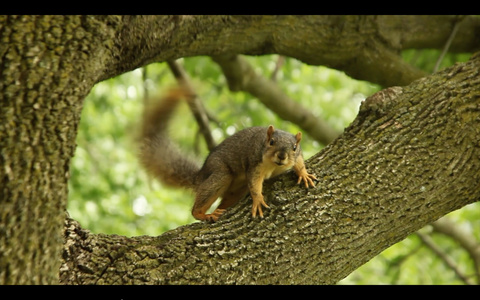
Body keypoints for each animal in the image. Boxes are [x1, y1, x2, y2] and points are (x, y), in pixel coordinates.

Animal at [139, 88, 316, 221]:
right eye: (271, 142)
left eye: (294, 147)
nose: (281, 156)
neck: (274, 166)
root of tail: (202, 174)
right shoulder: (255, 163)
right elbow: (255, 183)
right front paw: (258, 199)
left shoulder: (297, 156)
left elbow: (299, 162)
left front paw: (304, 174)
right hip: (220, 174)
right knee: (200, 205)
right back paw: (204, 214)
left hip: (235, 191)